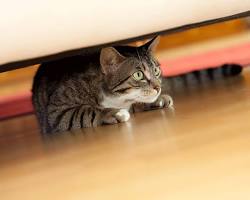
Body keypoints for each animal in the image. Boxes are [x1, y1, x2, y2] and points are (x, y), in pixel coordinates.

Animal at [32, 37, 174, 134]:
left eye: (156, 70)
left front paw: (158, 100)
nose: (158, 88)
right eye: (138, 75)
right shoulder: (57, 112)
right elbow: (85, 111)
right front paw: (114, 113)